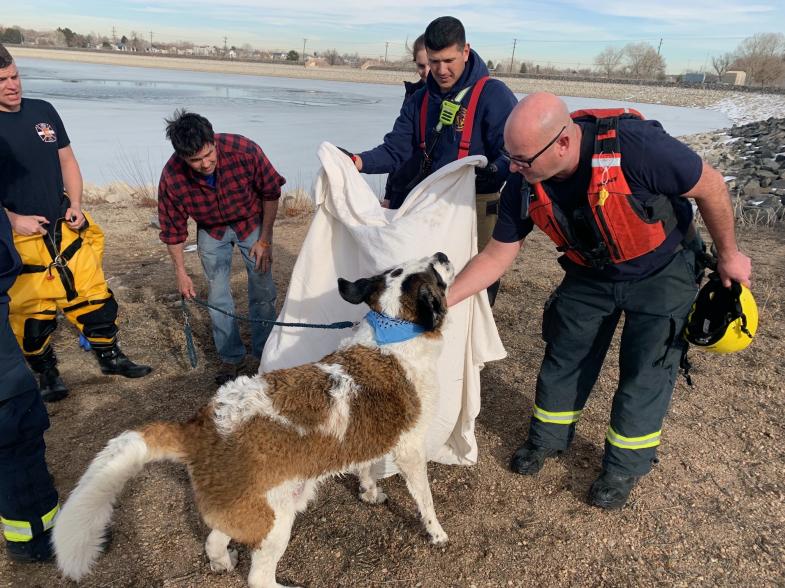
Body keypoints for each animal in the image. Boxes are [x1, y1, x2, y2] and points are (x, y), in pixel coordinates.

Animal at [53, 253, 454, 588]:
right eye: (436, 275)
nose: (443, 254)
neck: (393, 328)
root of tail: (201, 426)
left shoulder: (372, 439)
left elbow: (366, 467)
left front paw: (369, 492)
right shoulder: (410, 451)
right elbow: (425, 500)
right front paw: (435, 533)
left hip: (255, 510)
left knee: (213, 537)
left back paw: (220, 562)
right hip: (276, 522)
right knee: (258, 579)